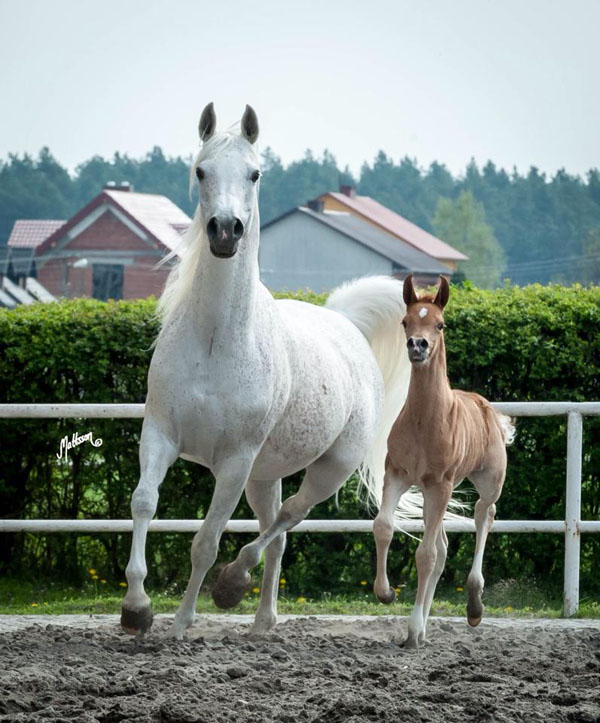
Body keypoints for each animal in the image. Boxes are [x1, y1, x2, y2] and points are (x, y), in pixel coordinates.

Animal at [120, 103, 414, 640]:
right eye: (201, 171)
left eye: (255, 174)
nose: (225, 230)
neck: (216, 342)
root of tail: (344, 324)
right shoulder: (160, 434)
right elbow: (144, 502)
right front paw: (136, 608)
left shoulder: (234, 462)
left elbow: (206, 541)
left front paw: (181, 623)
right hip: (265, 475)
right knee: (275, 534)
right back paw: (262, 620)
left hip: (328, 468)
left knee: (290, 517)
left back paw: (232, 585)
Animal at [372, 274, 512, 648]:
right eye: (405, 321)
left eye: (440, 323)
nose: (417, 346)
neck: (425, 419)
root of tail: (488, 409)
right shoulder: (397, 475)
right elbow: (384, 527)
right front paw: (386, 593)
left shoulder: (440, 484)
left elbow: (425, 555)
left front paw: (411, 630)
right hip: (430, 493)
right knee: (444, 547)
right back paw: (422, 626)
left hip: (485, 483)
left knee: (483, 516)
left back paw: (473, 606)